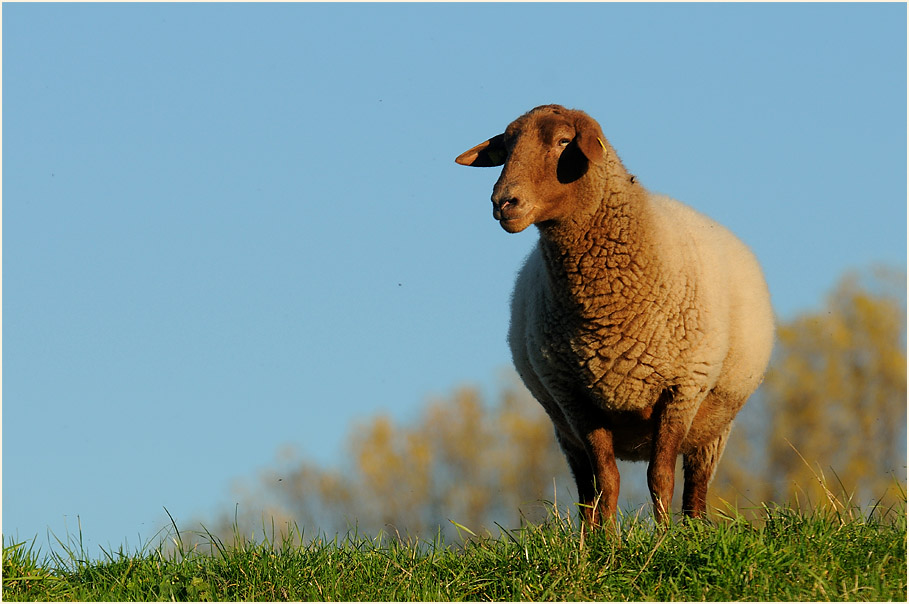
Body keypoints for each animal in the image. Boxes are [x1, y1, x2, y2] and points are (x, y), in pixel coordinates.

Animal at [455, 104, 774, 526]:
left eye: (563, 141)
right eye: (506, 146)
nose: (503, 202)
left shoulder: (682, 389)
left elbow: (660, 477)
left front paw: (664, 536)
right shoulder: (577, 401)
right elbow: (607, 481)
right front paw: (607, 540)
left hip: (713, 427)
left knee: (696, 490)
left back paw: (692, 529)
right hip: (565, 431)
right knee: (586, 491)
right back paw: (587, 537)